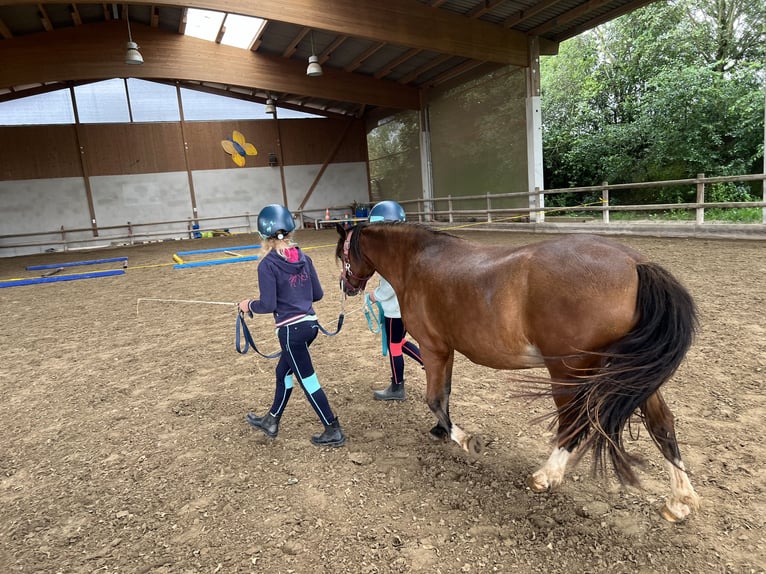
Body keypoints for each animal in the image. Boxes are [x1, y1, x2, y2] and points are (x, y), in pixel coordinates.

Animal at [340, 223, 704, 524]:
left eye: (342, 254)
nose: (348, 286)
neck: (418, 261)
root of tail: (635, 264)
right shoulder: (447, 351)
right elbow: (445, 394)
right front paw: (442, 430)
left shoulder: (434, 348)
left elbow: (434, 398)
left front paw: (465, 439)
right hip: (632, 376)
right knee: (661, 423)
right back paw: (679, 501)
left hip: (570, 373)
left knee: (573, 423)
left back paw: (546, 476)